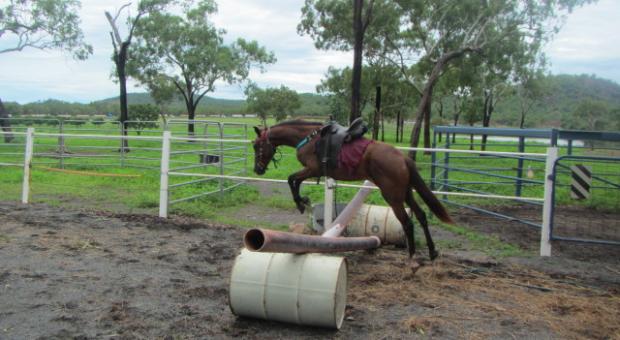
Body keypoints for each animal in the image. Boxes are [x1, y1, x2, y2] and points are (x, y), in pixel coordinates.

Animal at [249, 119, 452, 260]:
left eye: (256, 145)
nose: (257, 169)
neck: (308, 138)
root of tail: (403, 158)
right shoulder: (313, 171)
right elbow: (293, 180)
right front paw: (302, 201)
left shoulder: (312, 169)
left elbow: (292, 179)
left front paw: (301, 202)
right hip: (406, 193)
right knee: (421, 216)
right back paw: (432, 252)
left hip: (393, 196)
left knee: (408, 223)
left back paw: (411, 256)